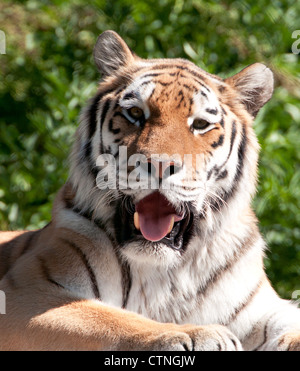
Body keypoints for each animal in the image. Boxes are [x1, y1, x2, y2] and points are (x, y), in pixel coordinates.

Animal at [0, 31, 300, 352]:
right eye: (134, 113)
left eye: (200, 124)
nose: (160, 165)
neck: (164, 271)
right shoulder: (27, 291)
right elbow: (109, 319)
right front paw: (197, 333)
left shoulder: (264, 308)